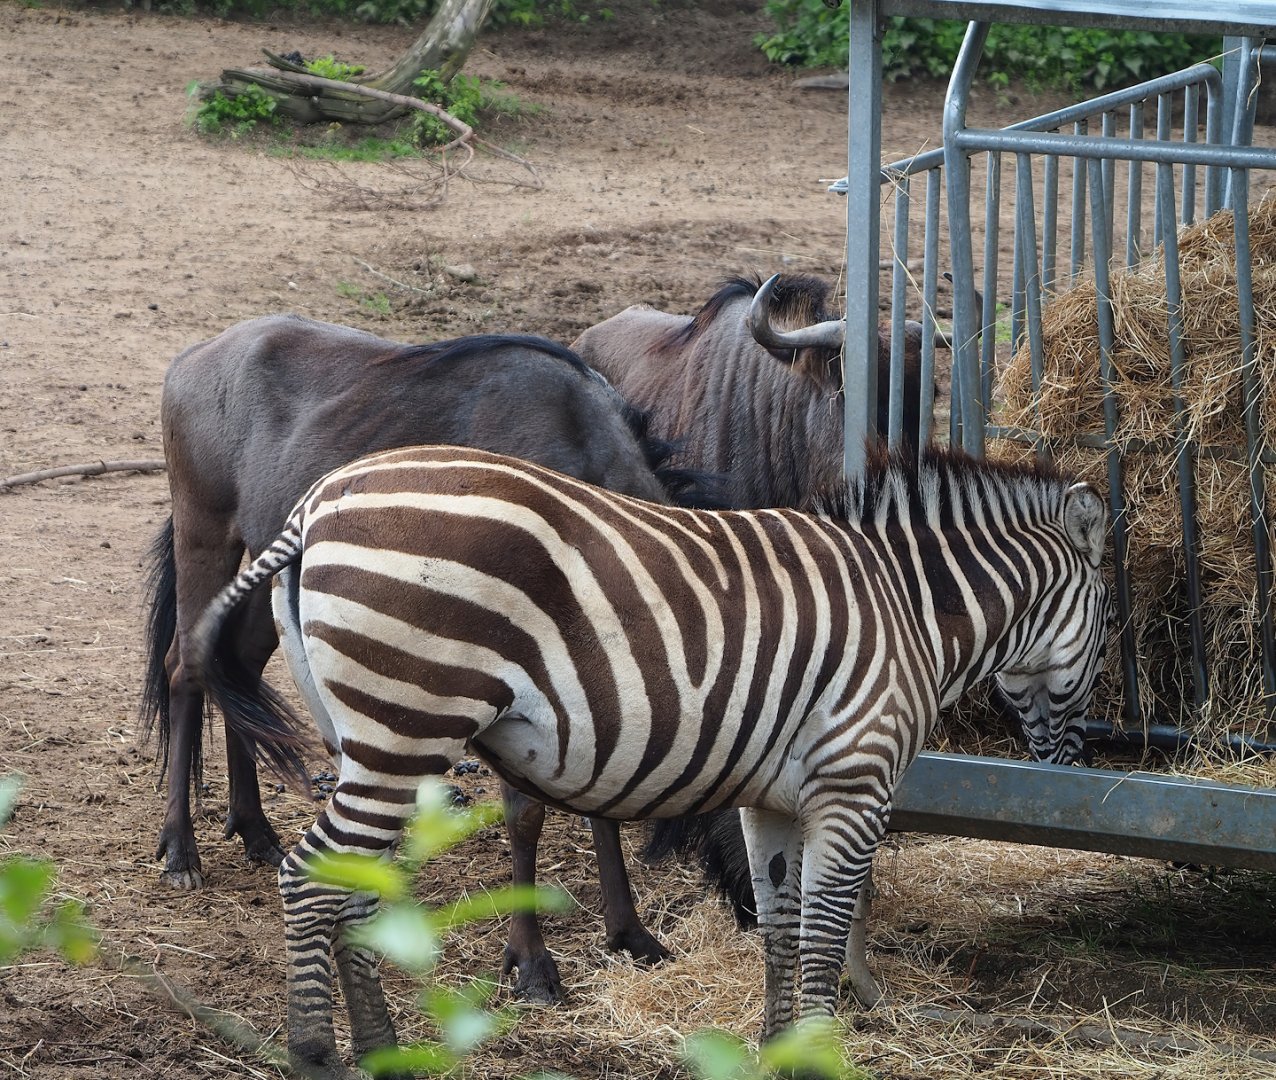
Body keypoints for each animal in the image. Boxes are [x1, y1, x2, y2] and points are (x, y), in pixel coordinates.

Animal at [189, 442, 1109, 1075]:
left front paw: (776, 1049)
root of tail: (320, 500)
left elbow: (779, 926)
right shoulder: (853, 783)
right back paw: (316, 1054)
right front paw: (818, 1049)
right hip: (407, 722)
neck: (906, 605)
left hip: (372, 738)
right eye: (1108, 626)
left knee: (351, 885)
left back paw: (385, 1054)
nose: (1073, 760)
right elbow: (822, 931)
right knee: (311, 878)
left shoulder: (774, 796)